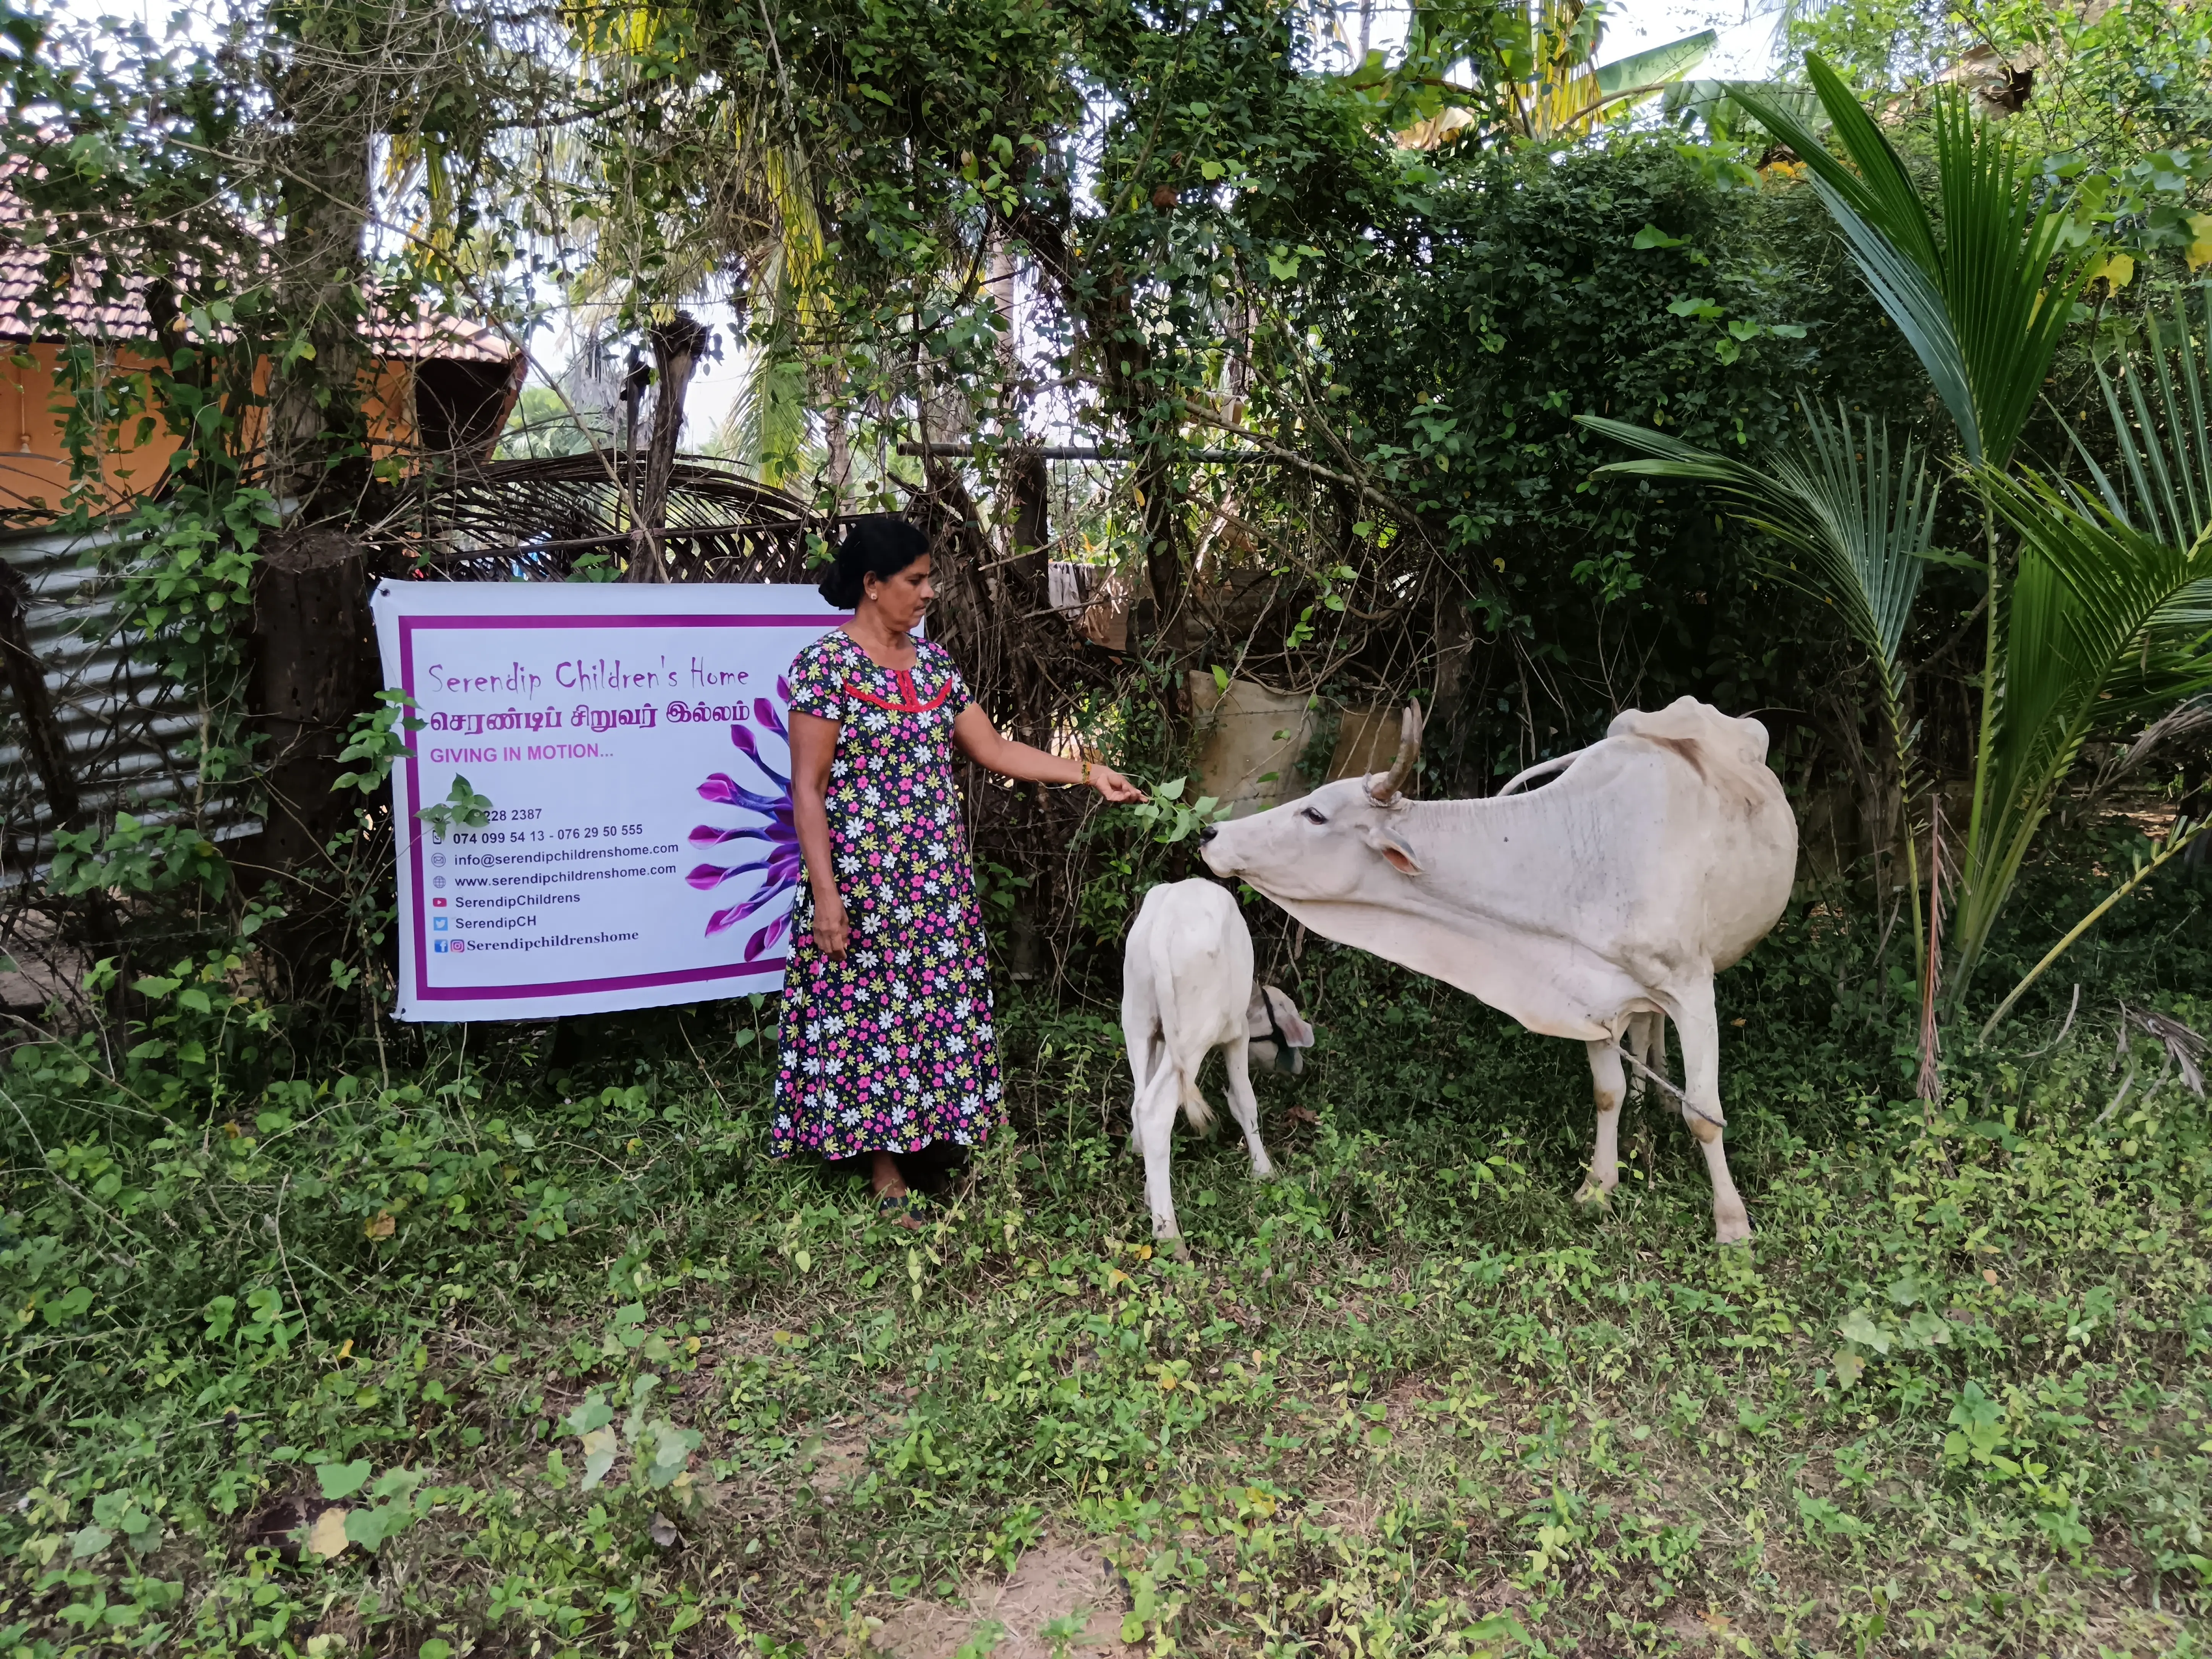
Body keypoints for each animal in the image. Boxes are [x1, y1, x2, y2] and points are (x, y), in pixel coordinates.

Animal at [1124, 884, 1309, 1247]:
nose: (1298, 1068)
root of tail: (1167, 912)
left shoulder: (1163, 1042)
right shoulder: (1238, 1035)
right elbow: (1244, 1102)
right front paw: (1263, 1169)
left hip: (1137, 1021)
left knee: (1140, 1102)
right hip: (1194, 1034)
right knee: (1155, 1111)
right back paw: (1168, 1232)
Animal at [1194, 694, 1796, 1239]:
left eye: (1316, 813)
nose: (1210, 833)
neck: (1582, 860)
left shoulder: (1692, 989)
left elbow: (1704, 1113)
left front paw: (1732, 1225)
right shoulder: (1589, 996)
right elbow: (1609, 1092)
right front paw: (1598, 1188)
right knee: (1647, 1026)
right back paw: (1654, 1097)